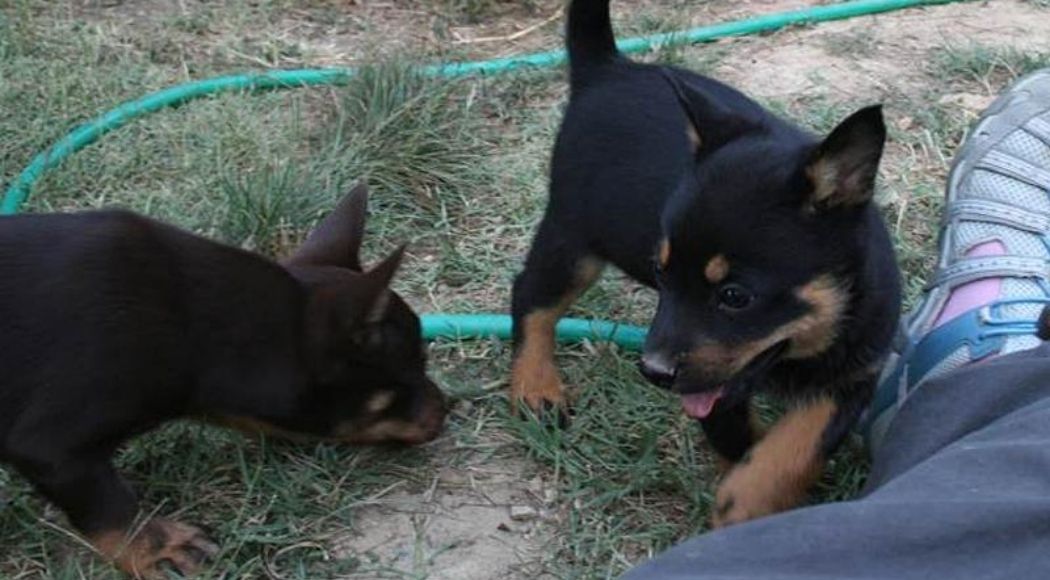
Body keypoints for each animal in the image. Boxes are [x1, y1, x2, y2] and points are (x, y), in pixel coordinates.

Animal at [0, 184, 445, 575]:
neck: (194, 325)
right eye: (415, 368)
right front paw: (160, 550)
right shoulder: (51, 448)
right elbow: (111, 509)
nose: (447, 409)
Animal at [503, 0, 898, 525]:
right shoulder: (717, 389)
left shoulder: (854, 377)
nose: (652, 371)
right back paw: (536, 385)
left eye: (735, 296)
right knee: (532, 296)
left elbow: (801, 440)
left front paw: (756, 488)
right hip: (573, 235)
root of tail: (608, 67)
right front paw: (744, 501)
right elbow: (737, 438)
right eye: (661, 273)